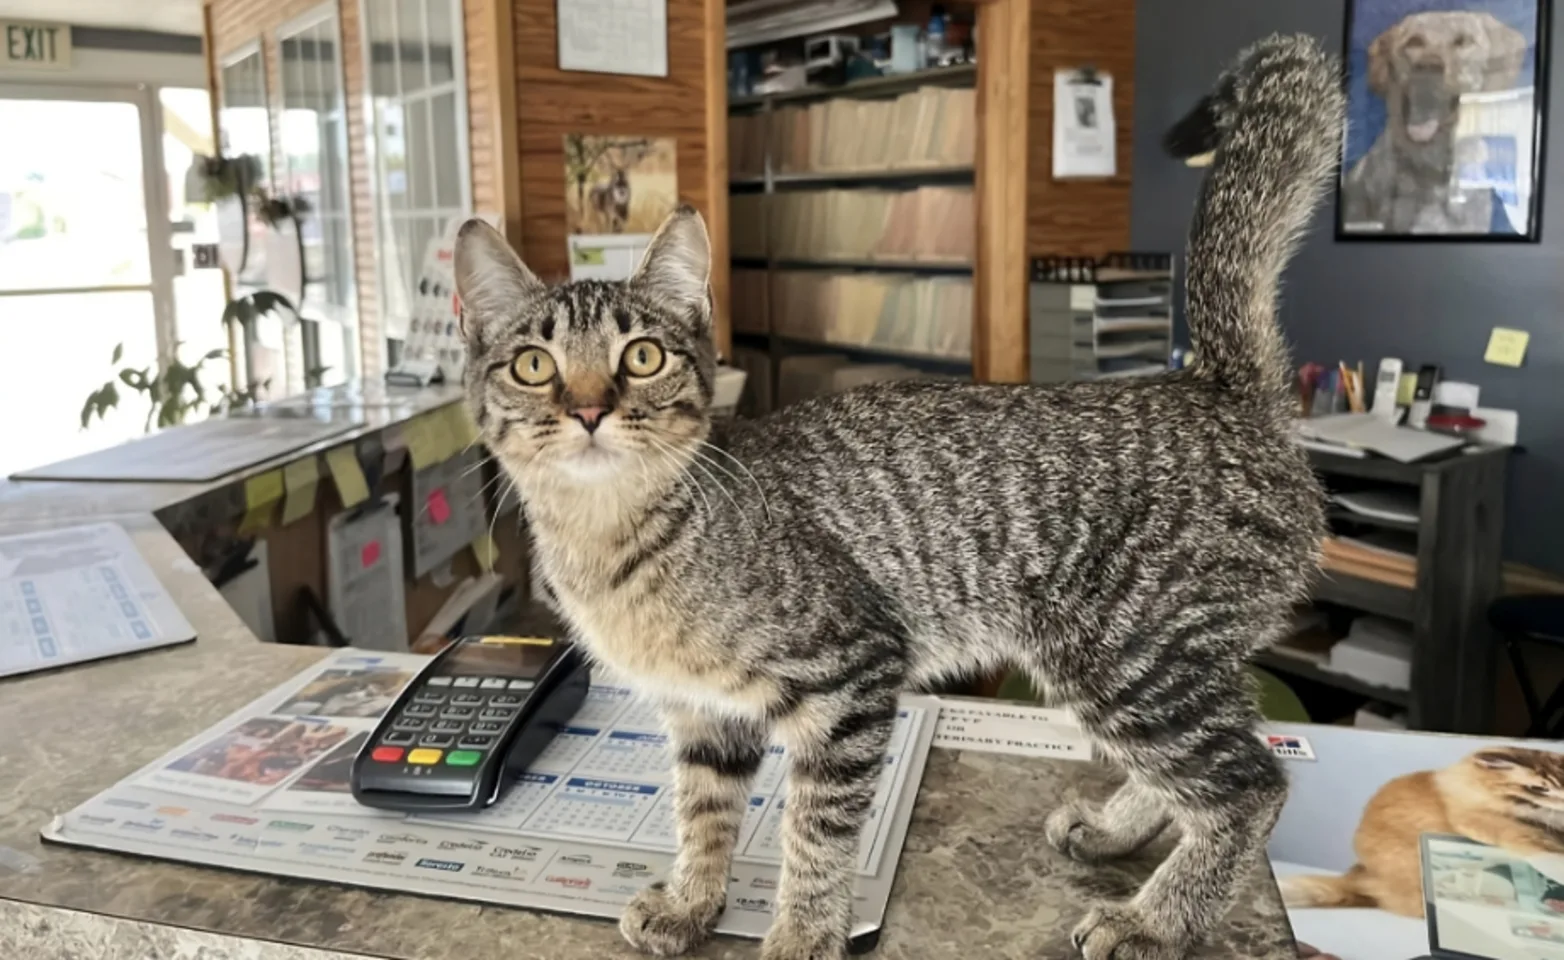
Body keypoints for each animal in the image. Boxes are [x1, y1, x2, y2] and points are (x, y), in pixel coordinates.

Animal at [453, 33, 1345, 960]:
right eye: (533, 365)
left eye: (642, 357)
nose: (590, 408)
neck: (611, 538)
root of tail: (1215, 386)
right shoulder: (704, 714)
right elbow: (703, 811)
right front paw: (693, 900)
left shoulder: (853, 672)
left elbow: (815, 832)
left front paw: (802, 934)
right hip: (1153, 661)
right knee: (1209, 762)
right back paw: (1117, 830)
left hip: (1126, 652)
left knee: (1250, 786)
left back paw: (1157, 919)